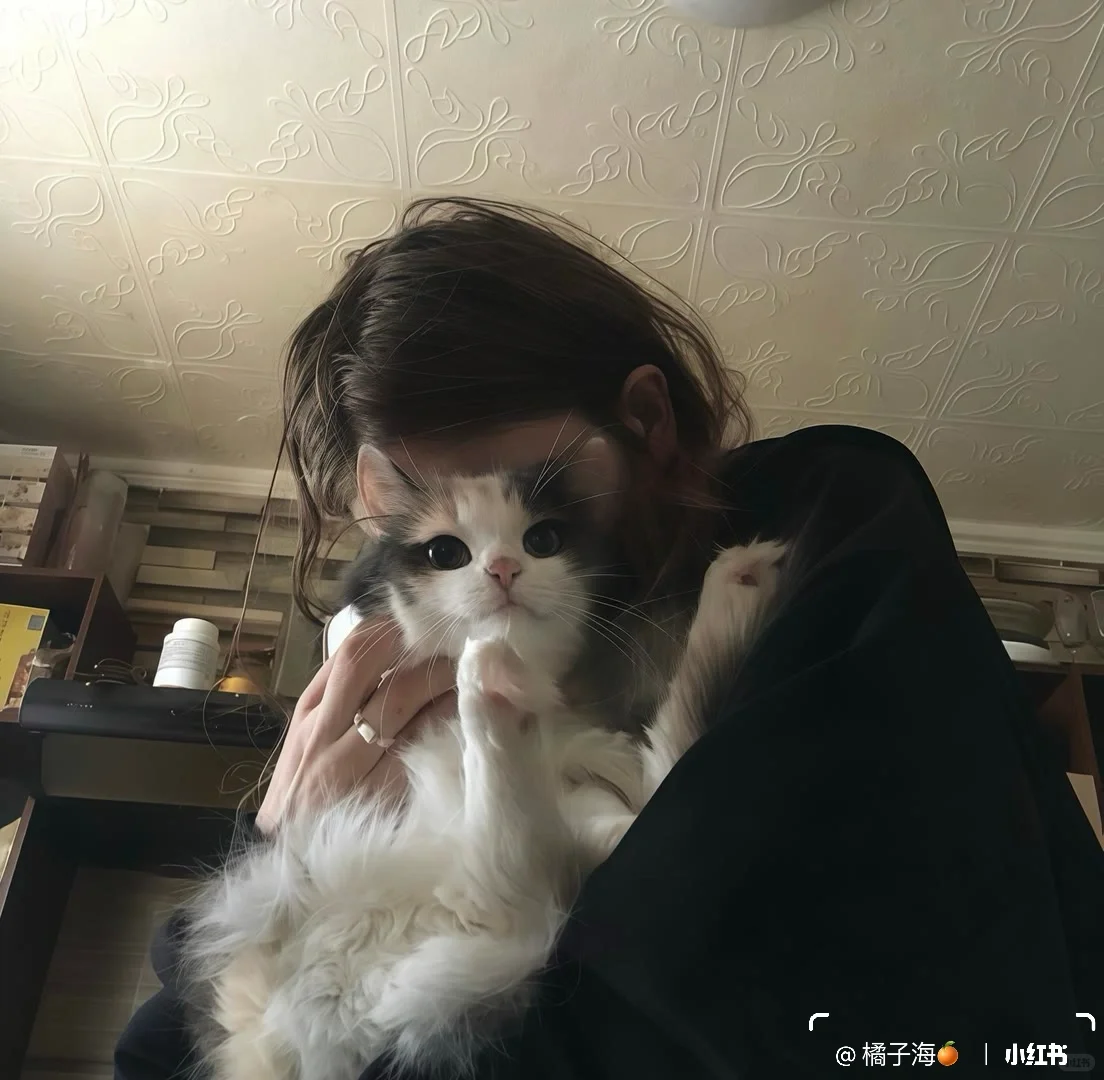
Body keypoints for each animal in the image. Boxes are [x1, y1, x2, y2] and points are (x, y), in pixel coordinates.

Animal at [180, 440, 786, 1080]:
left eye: (542, 541)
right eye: (446, 553)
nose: (503, 569)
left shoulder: (597, 803)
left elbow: (646, 796)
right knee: (504, 886)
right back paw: (494, 682)